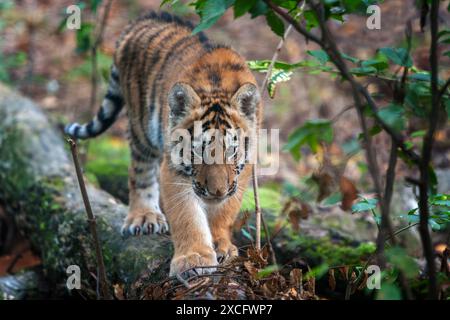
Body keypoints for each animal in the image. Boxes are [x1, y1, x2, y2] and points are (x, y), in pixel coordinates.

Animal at [62, 10, 260, 276]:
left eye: (231, 151)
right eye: (198, 151)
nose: (216, 191)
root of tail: (144, 19)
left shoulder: (244, 168)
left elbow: (224, 211)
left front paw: (221, 245)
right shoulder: (174, 167)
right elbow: (187, 215)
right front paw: (193, 258)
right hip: (142, 130)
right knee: (140, 173)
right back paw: (144, 217)